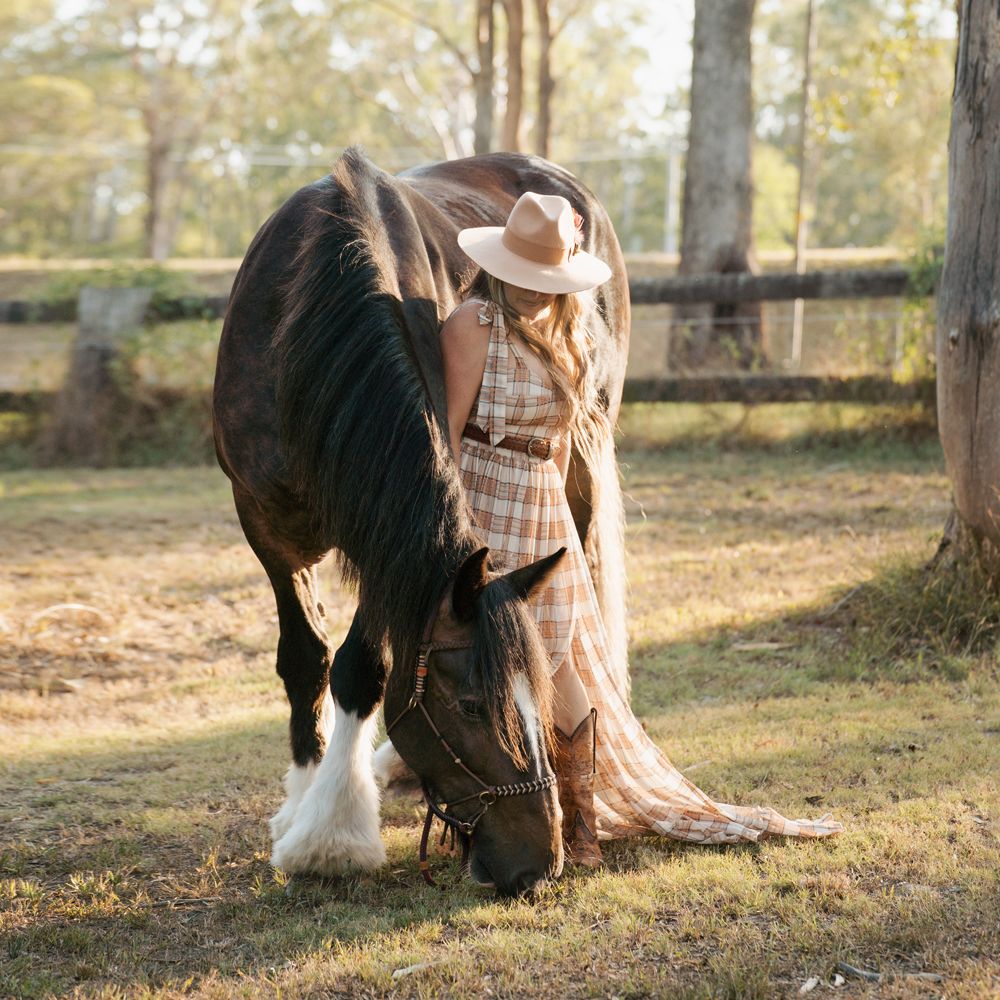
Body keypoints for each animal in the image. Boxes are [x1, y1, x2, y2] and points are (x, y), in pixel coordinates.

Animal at [212, 147, 630, 896]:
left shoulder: (387, 539)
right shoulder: (263, 524)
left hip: (582, 457)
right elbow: (307, 659)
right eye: (468, 707)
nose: (537, 864)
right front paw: (311, 821)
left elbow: (364, 665)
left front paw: (332, 830)